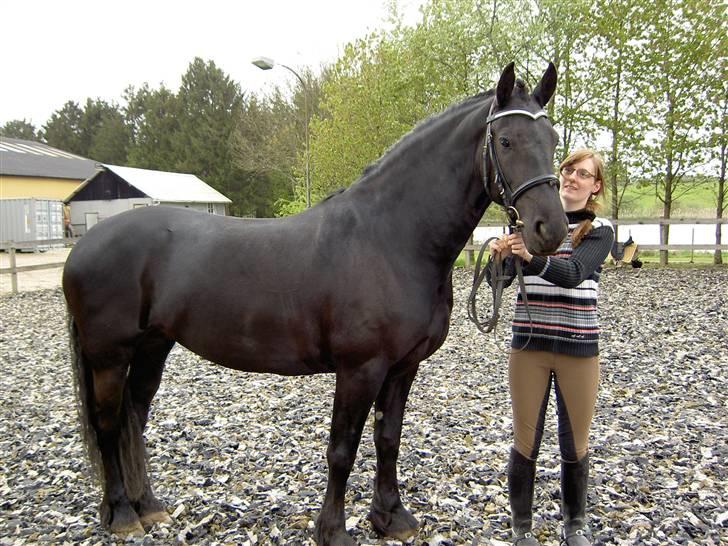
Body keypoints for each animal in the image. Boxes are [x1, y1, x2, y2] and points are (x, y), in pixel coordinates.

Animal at [62, 61, 564, 540]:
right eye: (505, 140)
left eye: (554, 138)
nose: (551, 229)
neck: (391, 238)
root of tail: (84, 245)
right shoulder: (360, 368)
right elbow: (342, 449)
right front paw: (334, 529)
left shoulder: (403, 367)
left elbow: (388, 439)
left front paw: (391, 518)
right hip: (109, 356)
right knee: (109, 426)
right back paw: (122, 514)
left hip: (152, 347)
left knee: (134, 420)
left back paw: (148, 507)